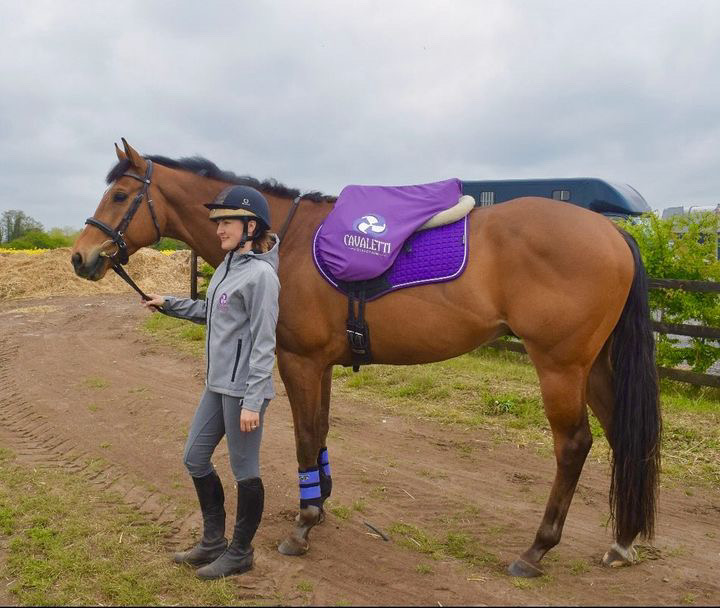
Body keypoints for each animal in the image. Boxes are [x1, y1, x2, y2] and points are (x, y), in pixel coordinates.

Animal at [70, 140, 660, 576]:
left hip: (560, 366)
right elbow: (321, 432)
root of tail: (612, 231)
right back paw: (623, 541)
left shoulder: (300, 361)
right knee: (620, 436)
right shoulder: (322, 365)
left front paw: (304, 525)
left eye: (120, 194)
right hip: (595, 367)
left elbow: (307, 435)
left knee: (574, 445)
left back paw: (537, 549)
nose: (81, 257)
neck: (282, 241)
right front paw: (320, 506)